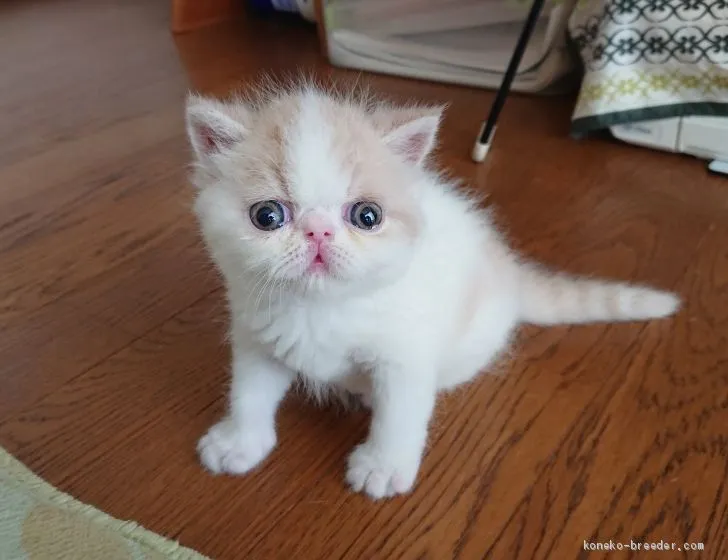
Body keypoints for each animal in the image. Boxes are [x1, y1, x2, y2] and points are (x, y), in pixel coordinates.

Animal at [185, 85, 680, 500]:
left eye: (367, 216)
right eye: (267, 216)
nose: (318, 231)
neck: (320, 308)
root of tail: (510, 273)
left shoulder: (406, 353)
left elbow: (401, 414)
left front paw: (383, 468)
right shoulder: (257, 335)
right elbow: (249, 391)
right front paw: (239, 442)